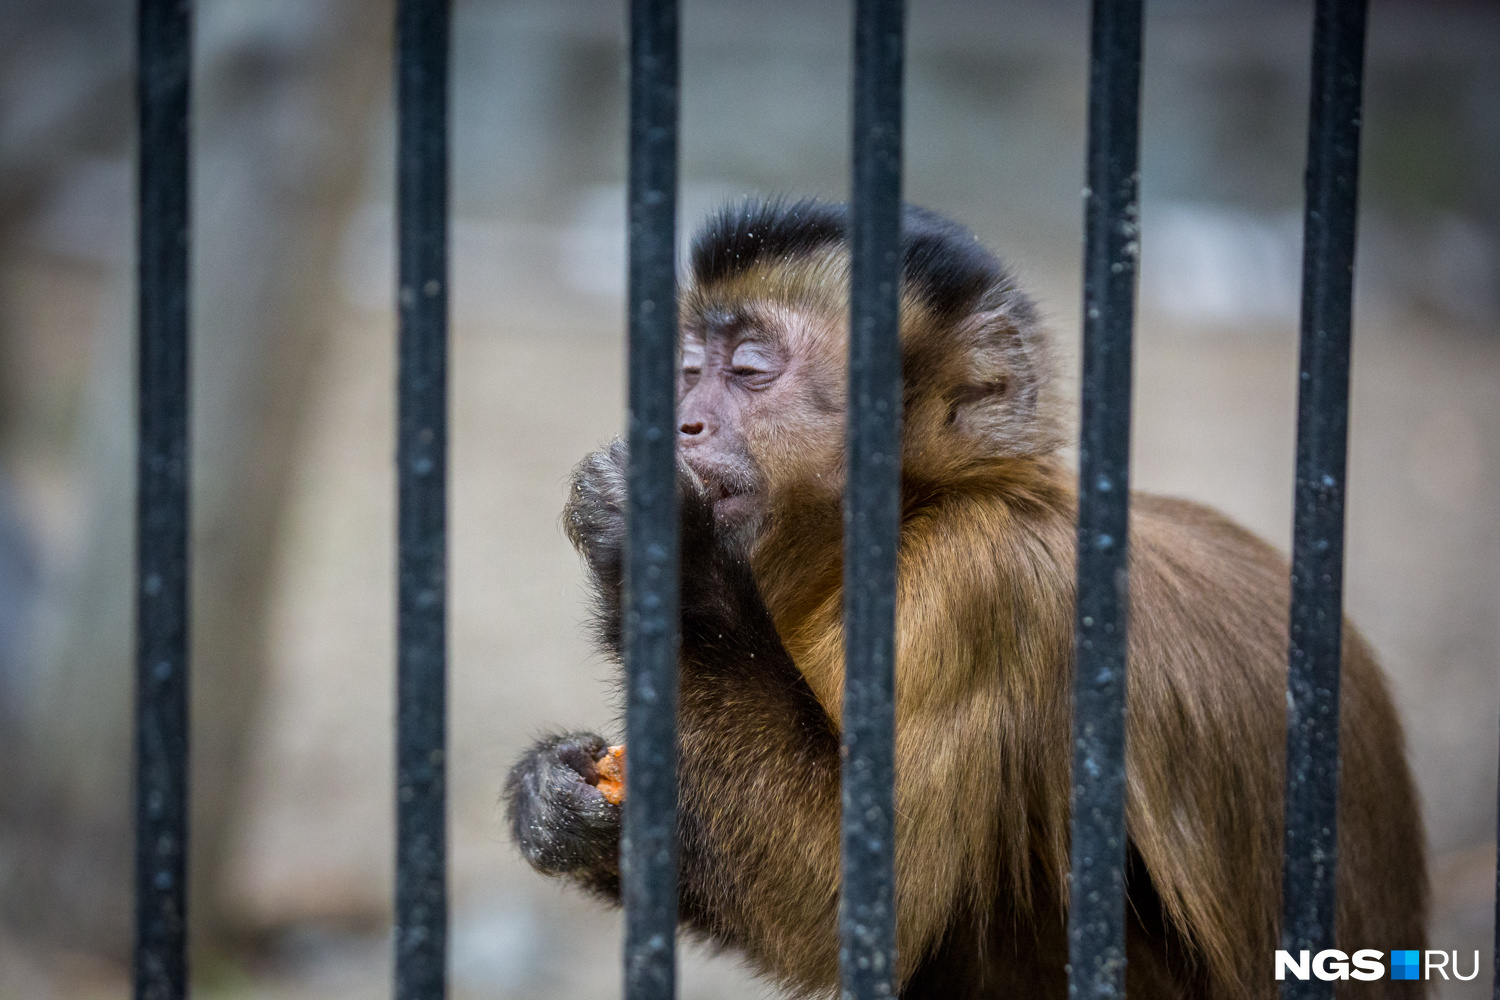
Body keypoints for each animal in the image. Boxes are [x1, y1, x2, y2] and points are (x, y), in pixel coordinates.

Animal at [504, 199, 1428, 995]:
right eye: (690, 372)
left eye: (749, 372)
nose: (684, 420)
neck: (929, 503)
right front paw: (556, 798)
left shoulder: (976, 585)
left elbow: (836, 903)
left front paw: (666, 544)